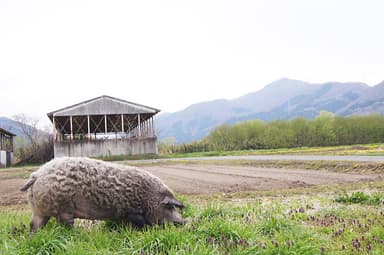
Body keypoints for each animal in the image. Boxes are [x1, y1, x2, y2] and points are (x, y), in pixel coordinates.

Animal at [20, 156, 186, 232]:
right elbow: (140, 222)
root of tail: (36, 175)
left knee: (34, 224)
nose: (184, 222)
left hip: (39, 209)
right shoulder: (130, 211)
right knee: (64, 224)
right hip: (63, 208)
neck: (148, 198)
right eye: (170, 207)